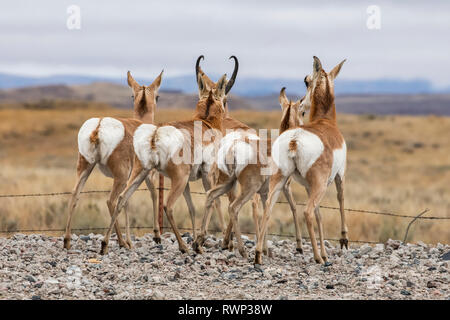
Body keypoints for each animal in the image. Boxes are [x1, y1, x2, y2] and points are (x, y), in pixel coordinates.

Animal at [62, 70, 163, 250]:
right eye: (158, 96)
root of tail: (99, 126)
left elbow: (128, 202)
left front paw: (130, 240)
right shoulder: (146, 174)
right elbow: (152, 194)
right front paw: (155, 236)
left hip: (85, 168)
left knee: (74, 195)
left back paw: (67, 241)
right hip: (120, 177)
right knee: (111, 201)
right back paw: (117, 242)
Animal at [100, 71, 230, 254]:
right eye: (223, 97)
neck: (206, 123)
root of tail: (156, 134)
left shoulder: (189, 183)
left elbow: (192, 207)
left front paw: (197, 241)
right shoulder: (207, 175)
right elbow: (213, 200)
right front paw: (199, 242)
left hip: (141, 175)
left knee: (121, 198)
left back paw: (107, 244)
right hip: (177, 180)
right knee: (167, 206)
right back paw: (183, 247)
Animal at [193, 87, 306, 258]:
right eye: (303, 112)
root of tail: (232, 148)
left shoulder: (265, 192)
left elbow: (266, 211)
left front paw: (264, 249)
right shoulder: (283, 188)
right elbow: (288, 208)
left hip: (228, 183)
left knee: (212, 196)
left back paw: (199, 242)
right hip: (248, 189)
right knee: (233, 207)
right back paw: (242, 250)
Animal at [253, 57, 348, 264]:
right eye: (307, 80)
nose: (303, 102)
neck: (326, 122)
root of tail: (294, 139)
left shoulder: (306, 186)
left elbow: (320, 215)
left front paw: (325, 252)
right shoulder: (339, 176)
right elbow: (340, 199)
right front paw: (342, 241)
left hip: (279, 182)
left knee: (267, 209)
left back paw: (258, 255)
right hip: (318, 186)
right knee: (307, 212)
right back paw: (317, 258)